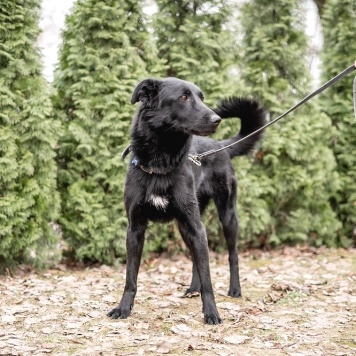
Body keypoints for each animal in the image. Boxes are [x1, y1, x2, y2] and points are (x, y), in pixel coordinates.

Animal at [108, 78, 264, 326]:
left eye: (202, 97)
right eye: (183, 97)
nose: (216, 119)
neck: (160, 164)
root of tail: (220, 145)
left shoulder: (197, 227)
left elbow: (208, 277)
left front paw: (212, 313)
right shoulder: (135, 229)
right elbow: (130, 277)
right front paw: (123, 308)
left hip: (226, 216)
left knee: (232, 255)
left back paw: (234, 289)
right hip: (185, 225)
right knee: (194, 257)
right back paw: (193, 288)